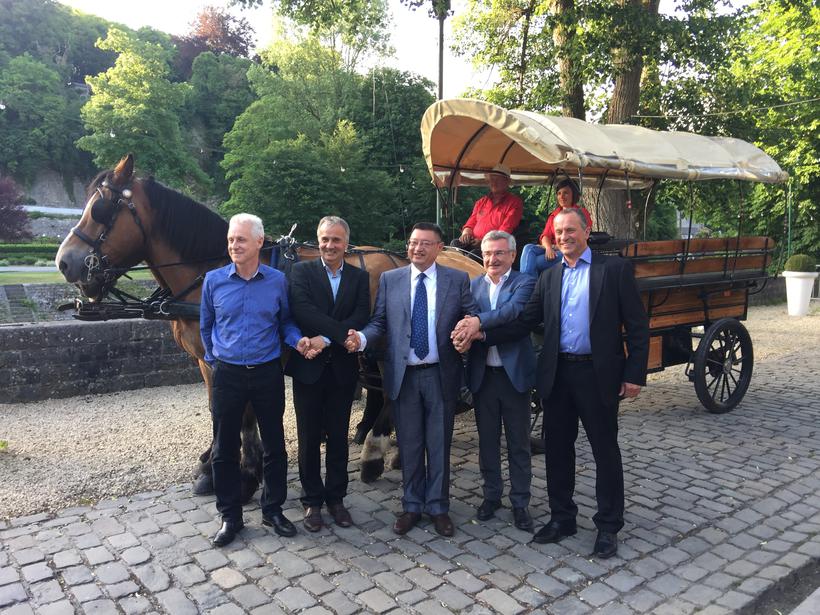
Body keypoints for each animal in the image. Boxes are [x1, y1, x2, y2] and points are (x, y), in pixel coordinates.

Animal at [56, 154, 486, 500]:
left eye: (101, 209)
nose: (65, 262)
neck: (214, 270)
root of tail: (406, 260)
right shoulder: (208, 361)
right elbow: (218, 409)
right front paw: (213, 465)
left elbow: (245, 417)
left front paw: (245, 475)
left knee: (392, 395)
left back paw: (375, 454)